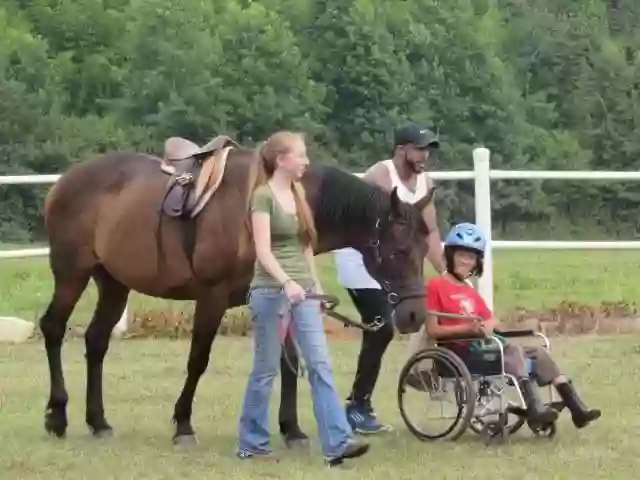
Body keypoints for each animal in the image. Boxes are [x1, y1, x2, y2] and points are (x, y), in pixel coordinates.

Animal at [38, 142, 436, 446]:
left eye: (424, 248)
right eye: (400, 251)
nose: (415, 315)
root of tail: (64, 182)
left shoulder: (282, 298)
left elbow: (288, 364)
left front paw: (292, 429)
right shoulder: (211, 298)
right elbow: (198, 360)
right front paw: (184, 425)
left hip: (113, 283)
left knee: (96, 342)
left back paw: (98, 421)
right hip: (71, 274)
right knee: (53, 328)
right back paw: (57, 416)